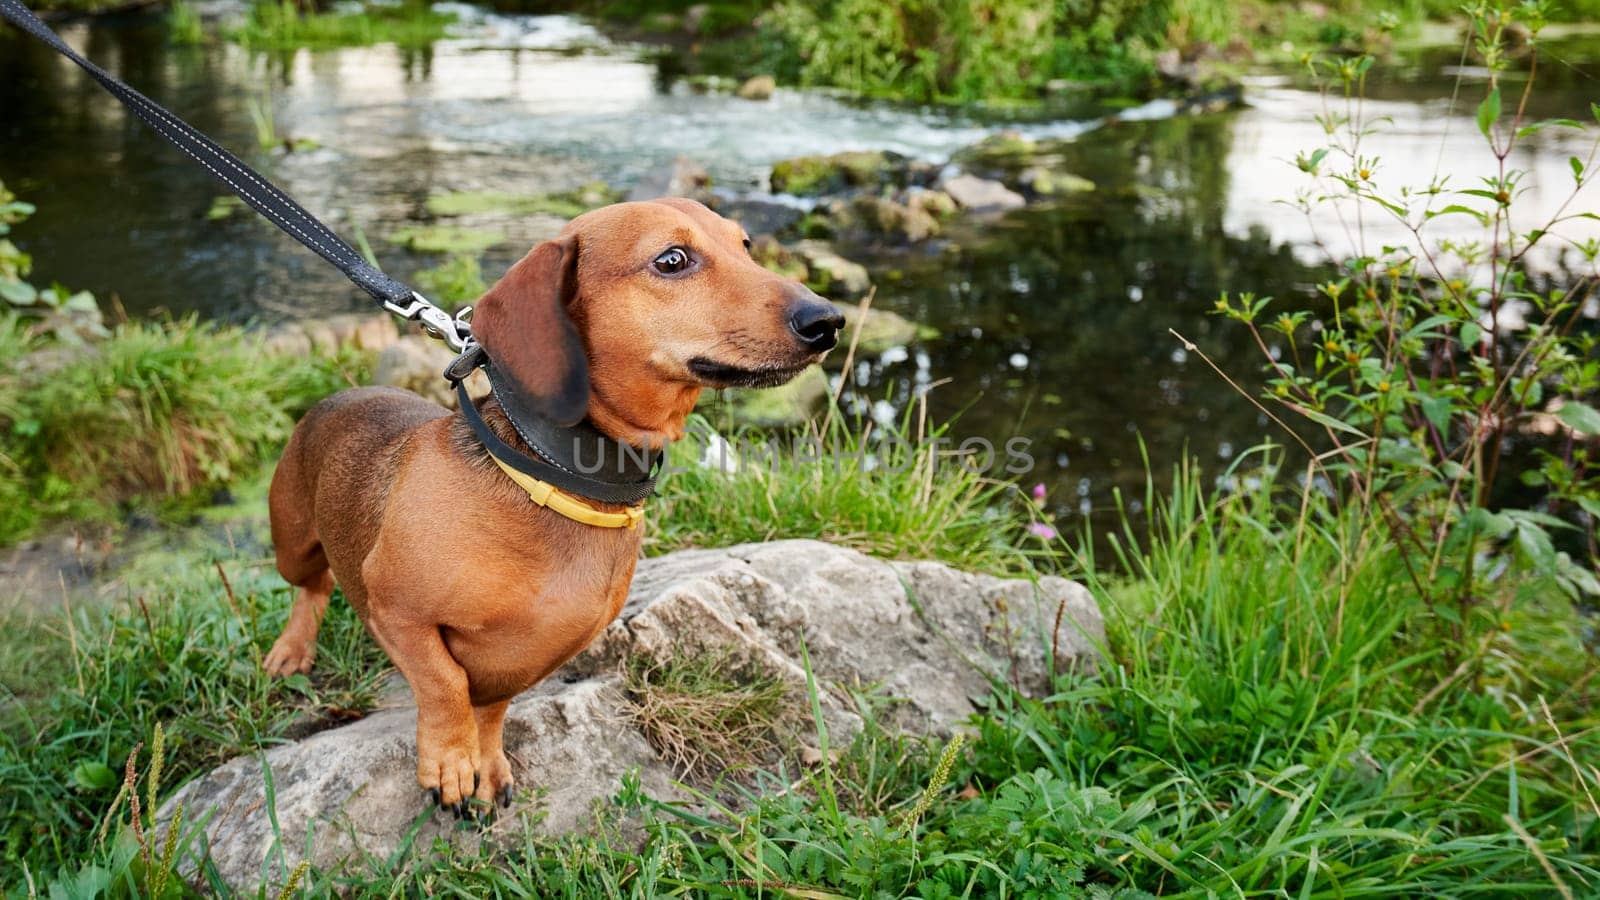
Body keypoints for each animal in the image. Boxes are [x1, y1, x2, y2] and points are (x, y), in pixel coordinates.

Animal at [256, 196, 844, 813]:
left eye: (746, 245)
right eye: (672, 260)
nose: (827, 320)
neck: (556, 476)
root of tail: (343, 394)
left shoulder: (533, 658)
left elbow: (491, 708)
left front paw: (485, 762)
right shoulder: (395, 610)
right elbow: (445, 685)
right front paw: (450, 762)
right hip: (292, 543)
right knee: (313, 586)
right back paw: (292, 649)